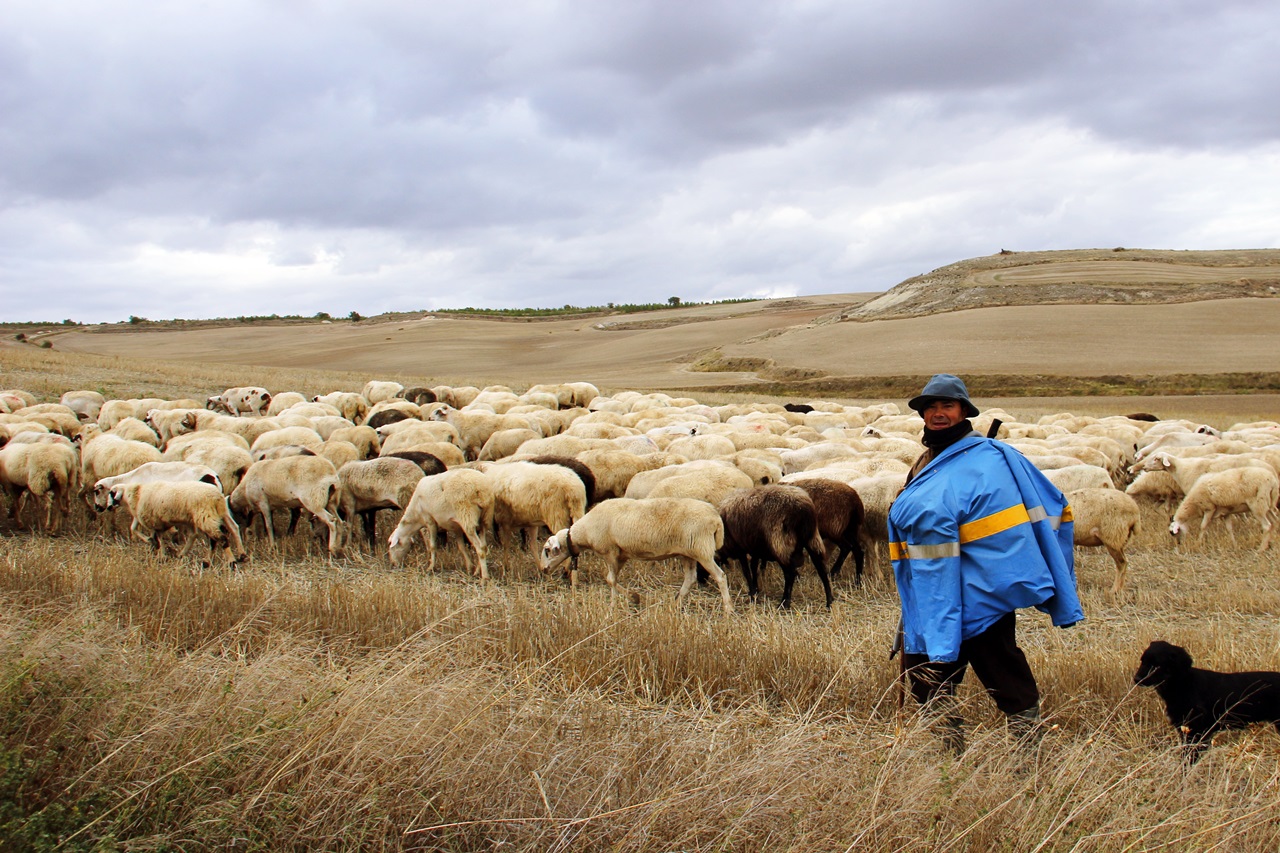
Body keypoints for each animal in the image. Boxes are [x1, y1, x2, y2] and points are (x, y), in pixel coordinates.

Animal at [106, 479, 245, 563]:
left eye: (111, 493)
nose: (107, 507)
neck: (136, 494)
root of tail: (217, 496)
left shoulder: (154, 522)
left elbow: (157, 540)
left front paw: (158, 553)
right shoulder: (157, 524)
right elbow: (143, 532)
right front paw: (159, 553)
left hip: (205, 517)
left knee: (220, 537)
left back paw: (231, 562)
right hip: (219, 514)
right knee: (232, 529)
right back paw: (240, 555)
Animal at [540, 499, 737, 612]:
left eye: (547, 551)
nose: (543, 570)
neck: (584, 532)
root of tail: (716, 519)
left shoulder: (609, 550)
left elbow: (610, 580)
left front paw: (615, 604)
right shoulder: (621, 554)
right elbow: (612, 579)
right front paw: (633, 597)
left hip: (702, 550)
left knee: (720, 576)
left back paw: (728, 609)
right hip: (687, 552)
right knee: (690, 578)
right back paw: (675, 604)